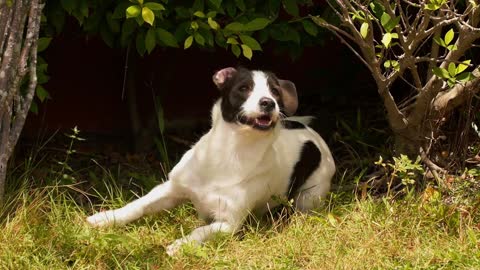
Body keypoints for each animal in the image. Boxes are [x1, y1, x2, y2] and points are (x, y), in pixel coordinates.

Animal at [85, 67, 334, 255]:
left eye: (275, 91)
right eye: (244, 88)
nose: (268, 102)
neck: (230, 154)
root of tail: (313, 134)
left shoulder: (228, 223)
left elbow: (200, 232)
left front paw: (181, 245)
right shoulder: (170, 189)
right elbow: (138, 205)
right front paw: (106, 218)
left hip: (309, 197)